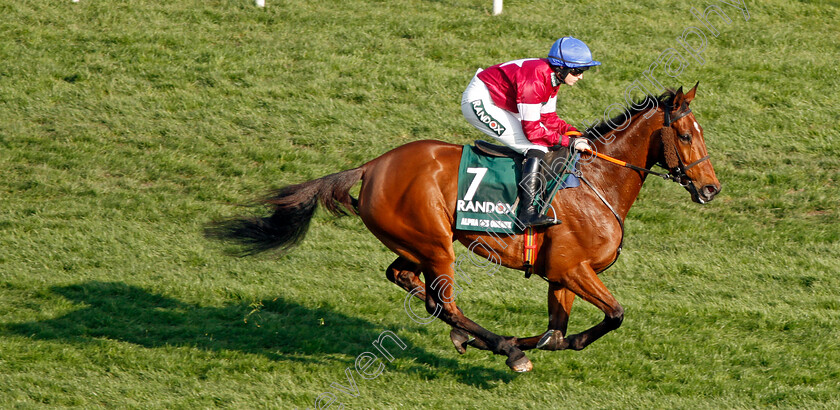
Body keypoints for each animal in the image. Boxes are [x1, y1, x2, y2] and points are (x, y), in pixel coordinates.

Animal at [208, 83, 720, 372]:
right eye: (686, 134)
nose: (711, 189)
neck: (598, 182)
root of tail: (372, 166)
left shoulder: (562, 275)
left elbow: (555, 333)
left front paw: (521, 342)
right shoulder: (572, 269)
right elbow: (611, 316)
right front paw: (514, 347)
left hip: (414, 242)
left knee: (404, 278)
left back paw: (478, 338)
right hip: (436, 243)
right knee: (441, 300)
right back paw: (503, 347)